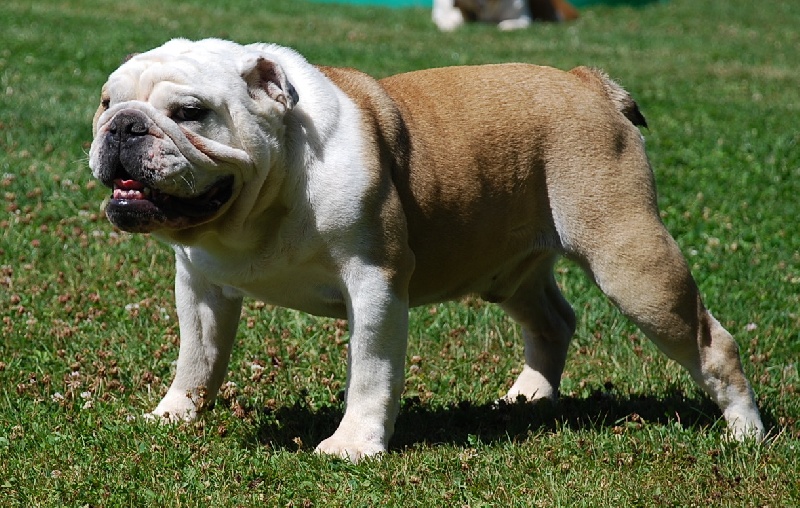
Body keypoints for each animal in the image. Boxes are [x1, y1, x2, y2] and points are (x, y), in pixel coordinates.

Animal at [89, 38, 764, 461]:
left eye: (190, 113)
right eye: (106, 101)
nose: (124, 125)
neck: (266, 196)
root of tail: (587, 84)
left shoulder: (375, 285)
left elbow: (370, 371)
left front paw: (353, 445)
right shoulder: (199, 288)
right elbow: (197, 359)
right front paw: (175, 415)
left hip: (631, 262)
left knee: (712, 342)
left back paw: (746, 433)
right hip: (506, 270)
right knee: (553, 319)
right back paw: (529, 396)